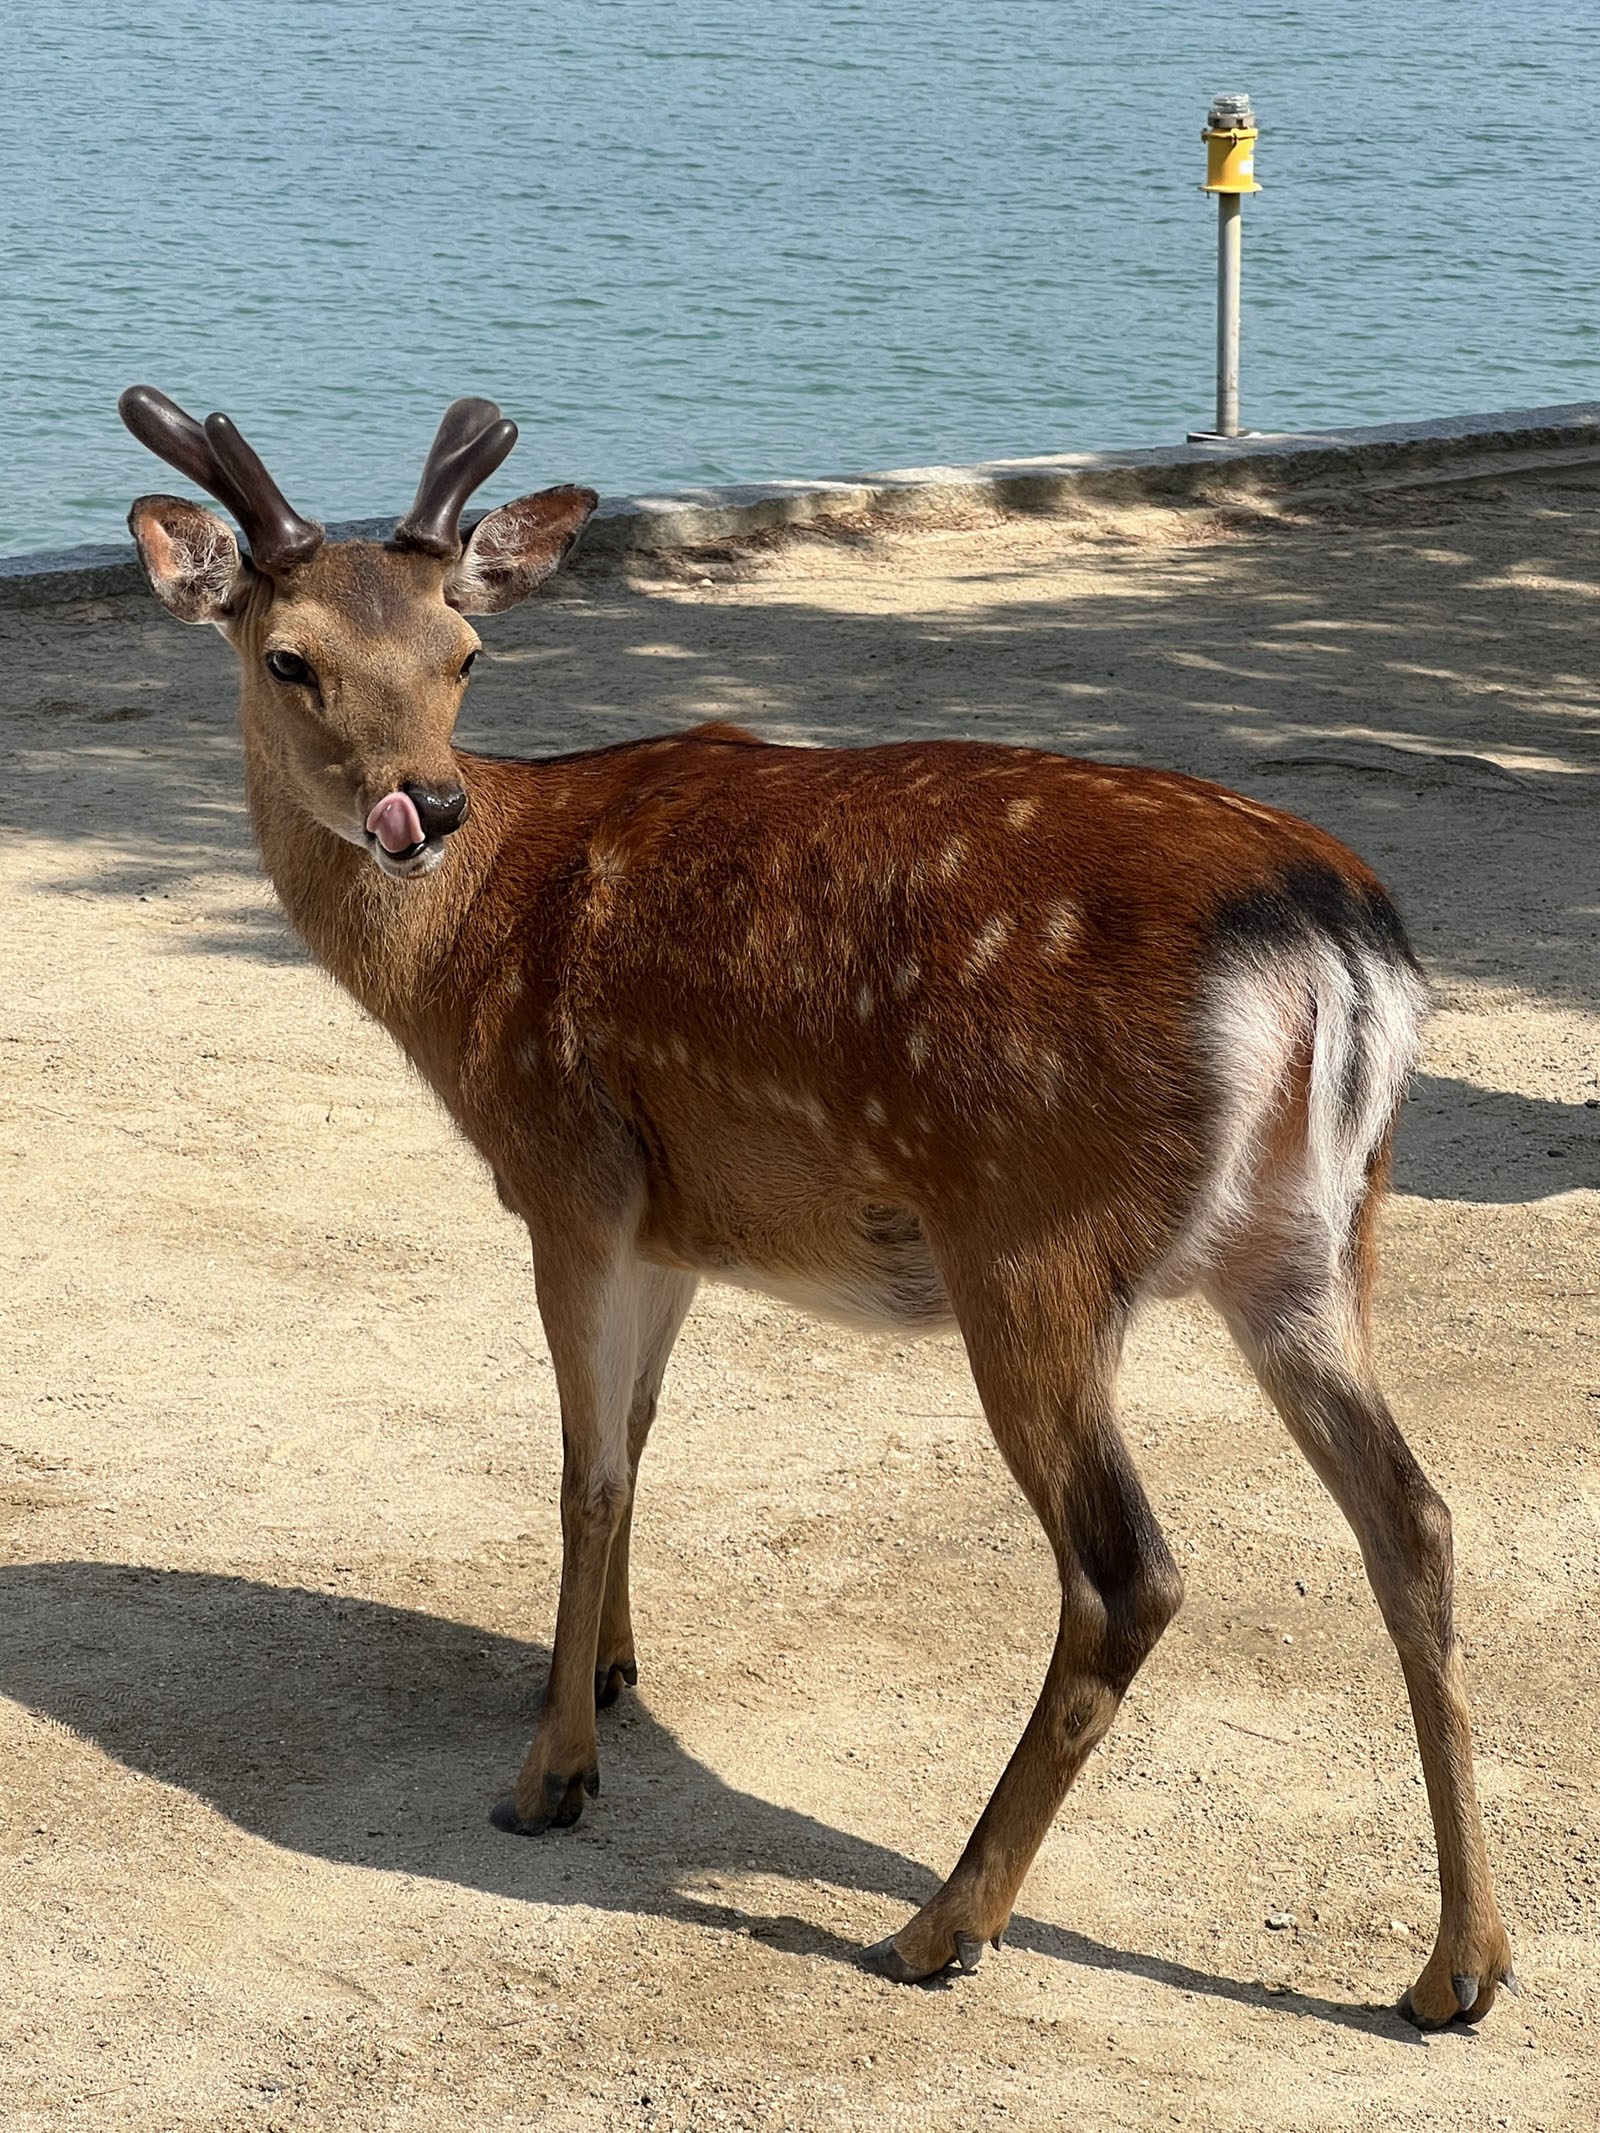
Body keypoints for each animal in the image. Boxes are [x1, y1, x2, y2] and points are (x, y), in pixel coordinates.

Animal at [117, 385, 1514, 2026]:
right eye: (290, 657)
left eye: (465, 652)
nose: (425, 810)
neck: (464, 964)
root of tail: (1336, 947)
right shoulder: (675, 1224)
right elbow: (642, 1437)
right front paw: (607, 1673)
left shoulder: (567, 1172)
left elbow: (585, 1473)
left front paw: (552, 1773)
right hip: (1315, 1240)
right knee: (1415, 1516)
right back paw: (1459, 1965)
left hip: (1033, 1237)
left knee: (1130, 1571)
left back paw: (940, 1923)